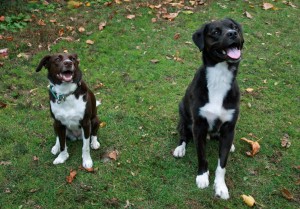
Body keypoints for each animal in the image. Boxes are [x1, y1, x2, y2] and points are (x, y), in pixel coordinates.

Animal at [173, 18, 244, 199]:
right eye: (216, 32)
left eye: (234, 27)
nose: (233, 34)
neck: (219, 77)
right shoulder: (199, 126)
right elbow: (202, 156)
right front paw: (202, 177)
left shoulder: (229, 127)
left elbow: (222, 164)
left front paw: (220, 187)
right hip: (183, 114)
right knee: (183, 135)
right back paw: (180, 148)